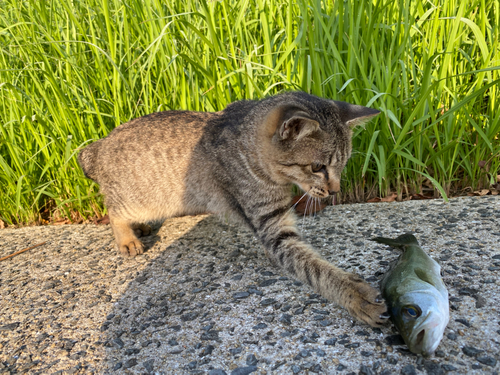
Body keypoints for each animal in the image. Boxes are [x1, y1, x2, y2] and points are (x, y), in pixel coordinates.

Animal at [80, 92, 388, 328]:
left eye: (343, 164)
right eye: (317, 167)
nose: (335, 191)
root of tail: (99, 145)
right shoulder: (272, 227)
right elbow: (317, 269)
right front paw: (355, 294)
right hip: (140, 200)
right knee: (114, 210)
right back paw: (127, 238)